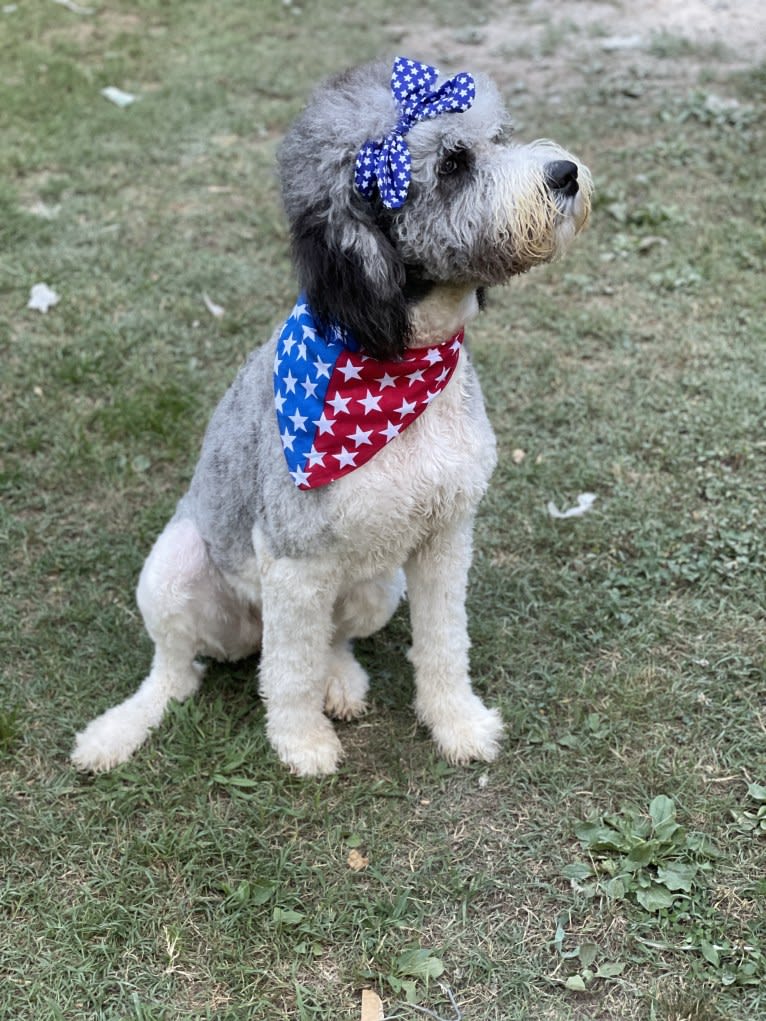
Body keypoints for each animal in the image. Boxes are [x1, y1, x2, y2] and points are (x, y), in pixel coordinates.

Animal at [72, 53, 592, 771]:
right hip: (173, 572)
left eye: (498, 137)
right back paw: (119, 729)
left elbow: (443, 643)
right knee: (180, 670)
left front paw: (457, 724)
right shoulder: (294, 560)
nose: (565, 173)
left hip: (377, 585)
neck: (398, 360)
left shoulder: (445, 536)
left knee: (329, 641)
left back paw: (341, 680)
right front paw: (301, 744)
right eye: (453, 163)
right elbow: (289, 673)